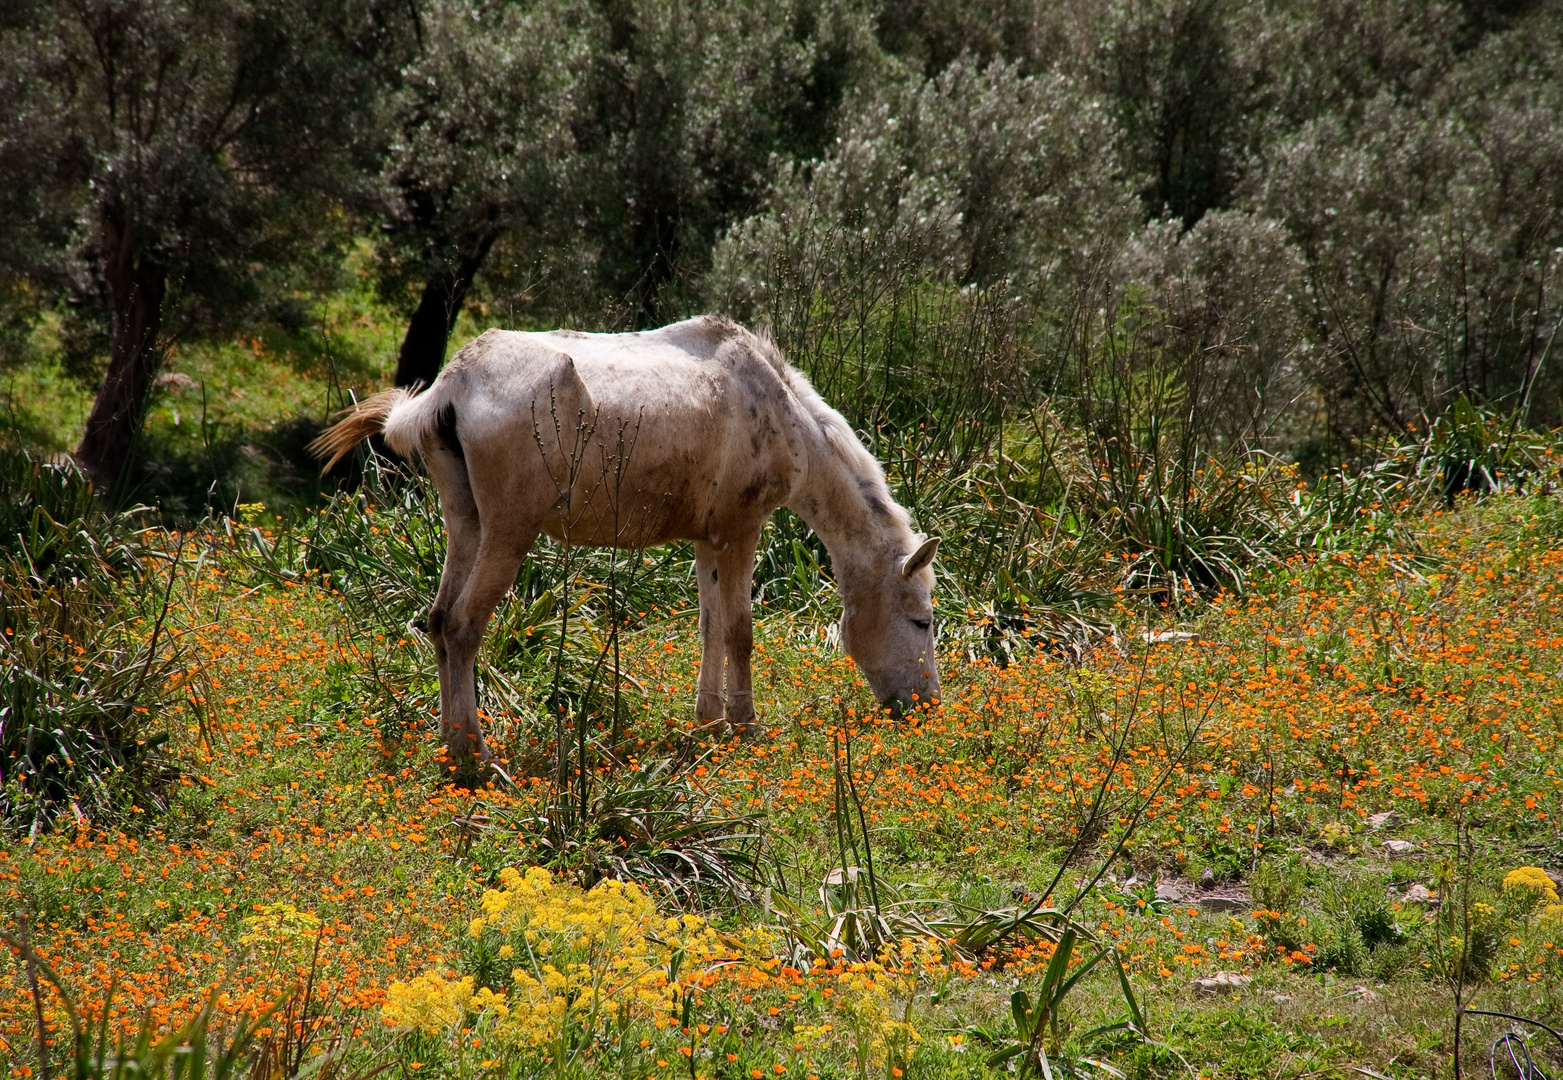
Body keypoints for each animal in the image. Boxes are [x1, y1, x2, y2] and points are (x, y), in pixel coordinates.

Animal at [311, 312, 931, 768]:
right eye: (922, 621)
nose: (926, 709)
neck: (781, 408)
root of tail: (453, 382)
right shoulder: (741, 530)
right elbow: (740, 632)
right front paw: (743, 724)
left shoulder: (707, 538)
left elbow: (709, 626)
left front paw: (708, 720)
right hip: (509, 533)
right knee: (464, 627)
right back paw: (474, 756)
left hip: (467, 525)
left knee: (439, 621)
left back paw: (450, 741)